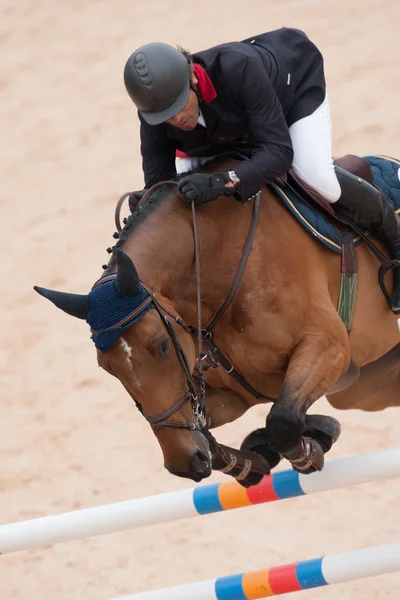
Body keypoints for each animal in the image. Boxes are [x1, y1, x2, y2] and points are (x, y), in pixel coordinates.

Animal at [34, 157, 400, 486]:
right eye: (106, 367)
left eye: (162, 346)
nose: (183, 465)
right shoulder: (229, 392)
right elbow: (207, 430)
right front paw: (254, 460)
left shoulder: (328, 346)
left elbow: (282, 421)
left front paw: (309, 451)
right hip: (364, 388)